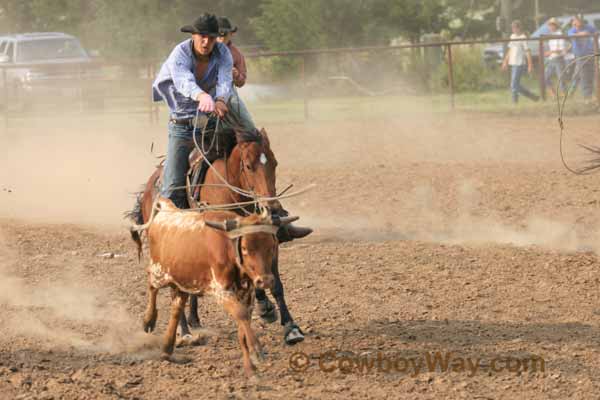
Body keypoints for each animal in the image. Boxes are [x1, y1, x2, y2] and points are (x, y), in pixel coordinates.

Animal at [127, 127, 304, 344]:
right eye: (248, 166)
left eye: (274, 162)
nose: (273, 208)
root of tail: (148, 189)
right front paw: (266, 309)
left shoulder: (270, 243)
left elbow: (276, 283)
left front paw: (290, 327)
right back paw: (184, 331)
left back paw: (194, 321)